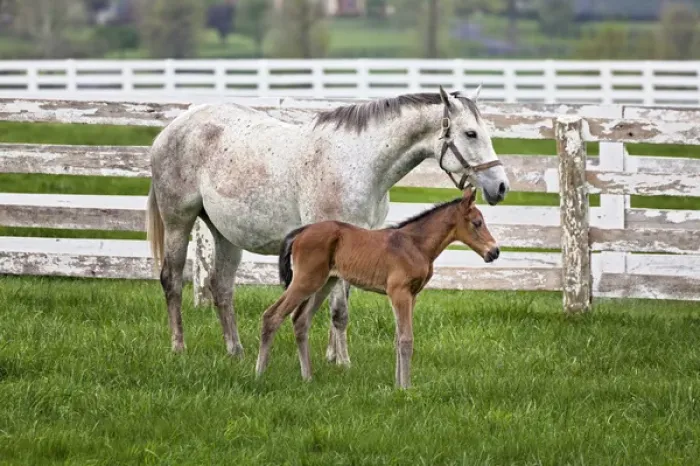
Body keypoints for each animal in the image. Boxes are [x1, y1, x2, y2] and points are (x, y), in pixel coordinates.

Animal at [146, 85, 510, 365]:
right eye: (470, 133)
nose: (501, 186)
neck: (360, 162)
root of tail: (172, 128)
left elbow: (340, 305)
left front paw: (333, 356)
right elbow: (338, 310)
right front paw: (343, 362)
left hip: (225, 235)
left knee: (221, 287)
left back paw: (235, 351)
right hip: (178, 222)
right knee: (172, 281)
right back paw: (178, 347)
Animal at [255, 187, 499, 389]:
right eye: (477, 223)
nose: (494, 252)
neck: (415, 245)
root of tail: (301, 232)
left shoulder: (412, 295)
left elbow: (398, 337)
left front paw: (398, 385)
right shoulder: (399, 292)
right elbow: (406, 338)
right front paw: (406, 388)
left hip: (324, 283)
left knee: (300, 320)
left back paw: (307, 377)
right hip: (306, 280)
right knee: (272, 315)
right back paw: (260, 373)